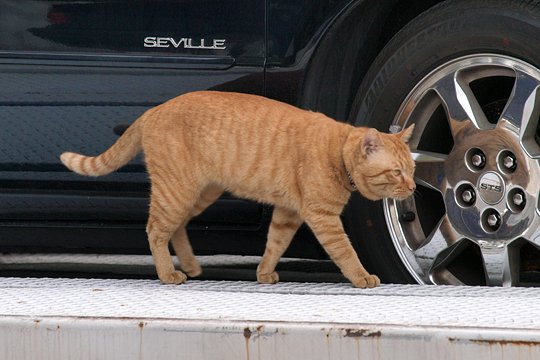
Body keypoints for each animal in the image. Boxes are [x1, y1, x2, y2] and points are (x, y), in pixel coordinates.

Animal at [61, 91, 416, 288]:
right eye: (396, 172)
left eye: (412, 169)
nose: (413, 187)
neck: (337, 151)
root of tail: (153, 110)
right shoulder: (322, 217)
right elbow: (345, 252)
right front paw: (362, 277)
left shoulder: (288, 213)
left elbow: (275, 244)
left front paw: (264, 272)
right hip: (177, 191)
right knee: (155, 230)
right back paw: (167, 273)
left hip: (198, 194)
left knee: (177, 226)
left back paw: (190, 266)